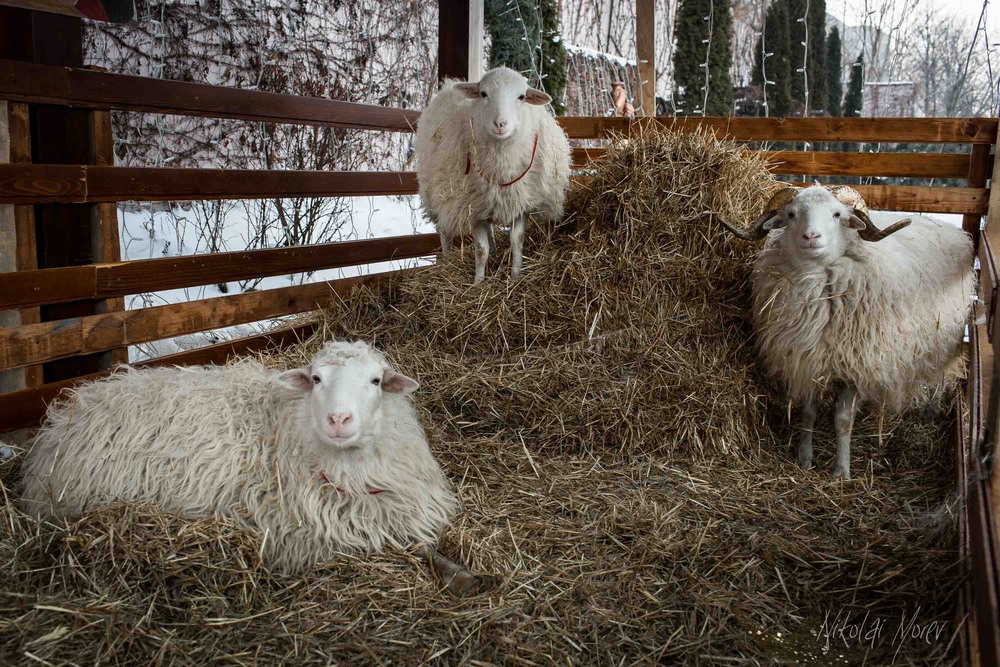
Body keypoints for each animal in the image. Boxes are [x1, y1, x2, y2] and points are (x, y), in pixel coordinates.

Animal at [18, 342, 480, 592]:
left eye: (376, 381)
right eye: (316, 379)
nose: (339, 419)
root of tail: (65, 416)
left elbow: (425, 545)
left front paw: (464, 574)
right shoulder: (306, 537)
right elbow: (405, 548)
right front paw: (458, 575)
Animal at [414, 68, 572, 284]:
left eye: (521, 97)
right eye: (483, 94)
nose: (500, 124)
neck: (502, 166)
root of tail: (450, 85)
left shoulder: (520, 203)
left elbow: (517, 241)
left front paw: (515, 276)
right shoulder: (472, 208)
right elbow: (481, 250)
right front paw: (478, 282)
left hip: (486, 202)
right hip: (439, 195)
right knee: (444, 230)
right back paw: (446, 262)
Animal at [724, 185, 972, 482]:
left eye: (837, 214)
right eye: (791, 214)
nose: (811, 237)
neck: (818, 284)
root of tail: (952, 228)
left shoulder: (857, 364)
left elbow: (843, 420)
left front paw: (841, 471)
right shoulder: (809, 359)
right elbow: (808, 414)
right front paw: (804, 458)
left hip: (945, 339)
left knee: (940, 374)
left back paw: (931, 411)